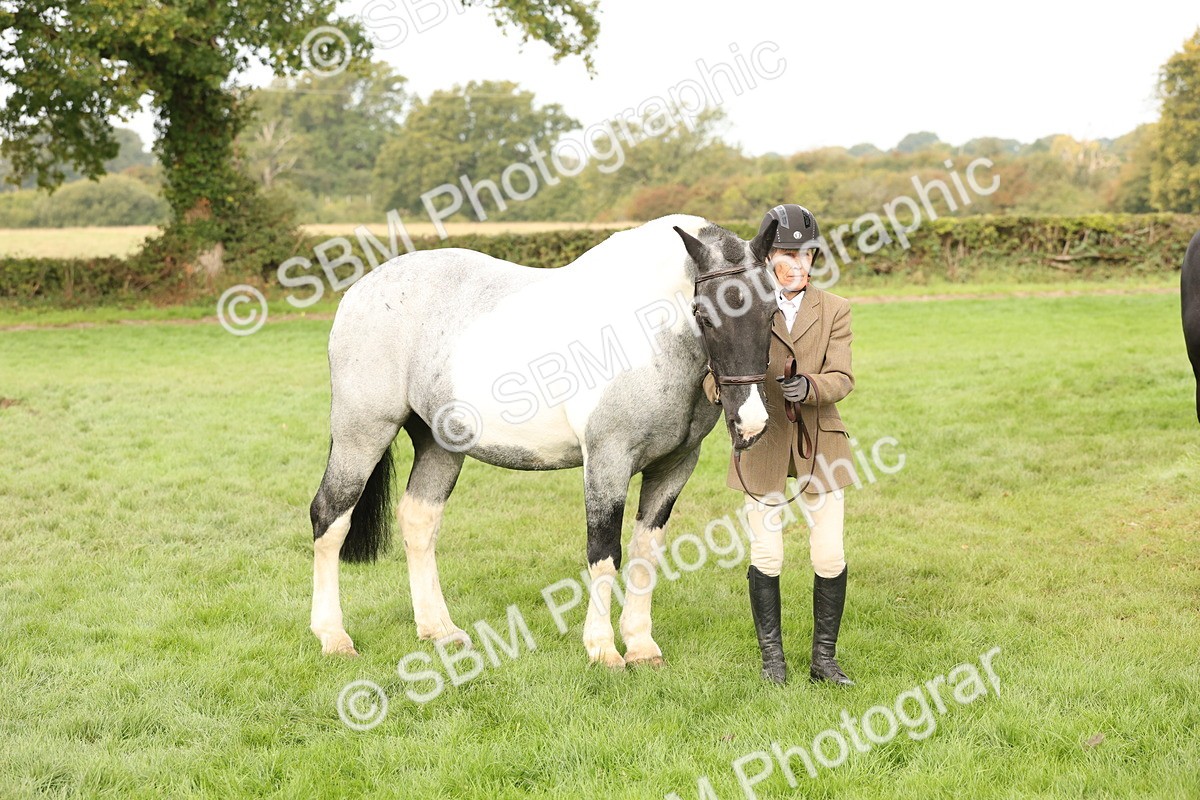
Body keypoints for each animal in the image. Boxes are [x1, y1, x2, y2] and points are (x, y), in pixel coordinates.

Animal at [308, 214, 783, 667]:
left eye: (774, 309)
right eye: (702, 313)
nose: (751, 421)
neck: (647, 334)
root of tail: (361, 291)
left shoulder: (674, 467)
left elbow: (646, 554)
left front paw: (641, 646)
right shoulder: (608, 461)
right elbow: (605, 553)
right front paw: (603, 649)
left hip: (439, 444)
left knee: (419, 522)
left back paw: (439, 630)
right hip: (362, 432)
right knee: (329, 517)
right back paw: (333, 637)